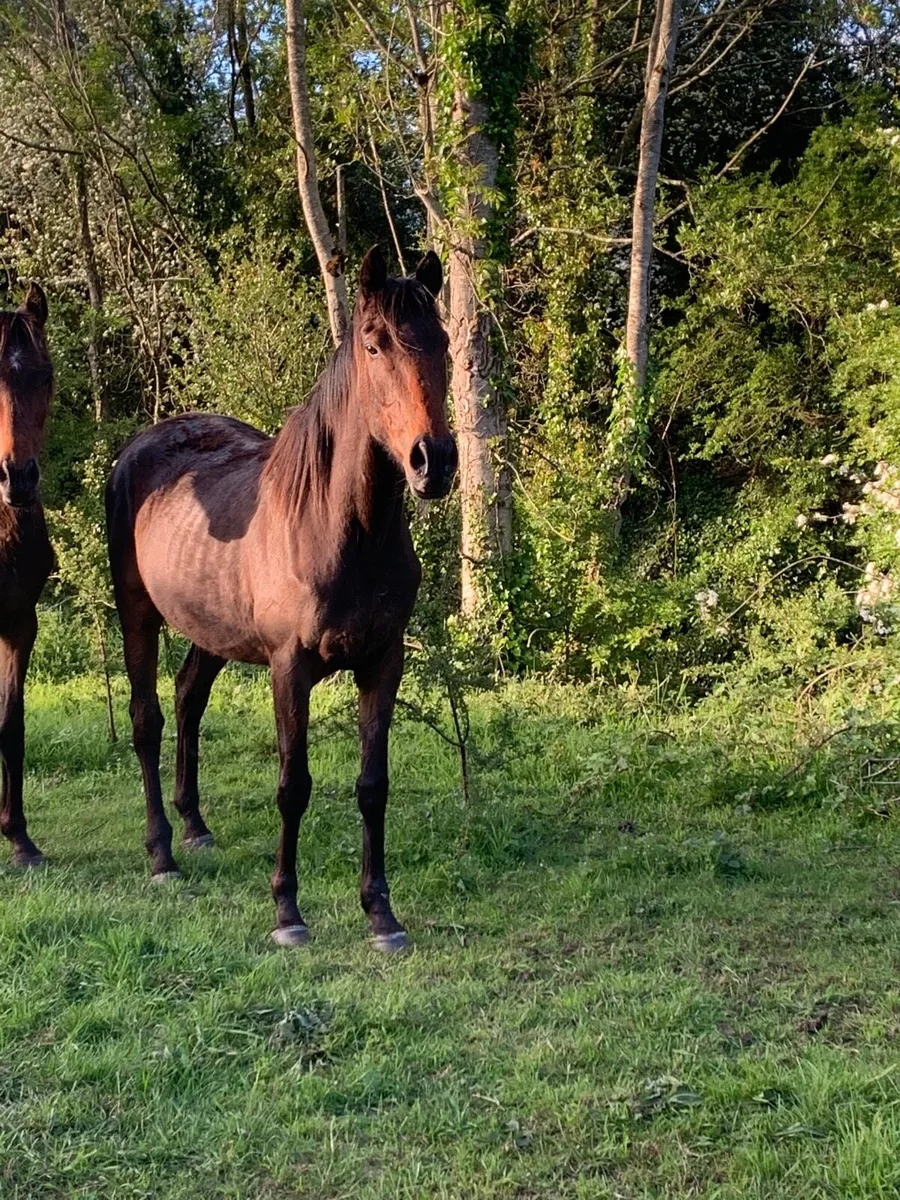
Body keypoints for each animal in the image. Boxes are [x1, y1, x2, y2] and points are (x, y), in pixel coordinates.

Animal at [106, 247, 457, 950]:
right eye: (374, 344)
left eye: (443, 341)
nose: (433, 461)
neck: (339, 530)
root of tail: (137, 449)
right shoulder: (289, 667)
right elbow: (293, 785)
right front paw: (287, 912)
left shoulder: (383, 662)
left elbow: (373, 785)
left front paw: (381, 913)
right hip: (137, 614)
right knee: (147, 719)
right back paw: (163, 854)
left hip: (211, 630)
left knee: (188, 697)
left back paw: (196, 826)